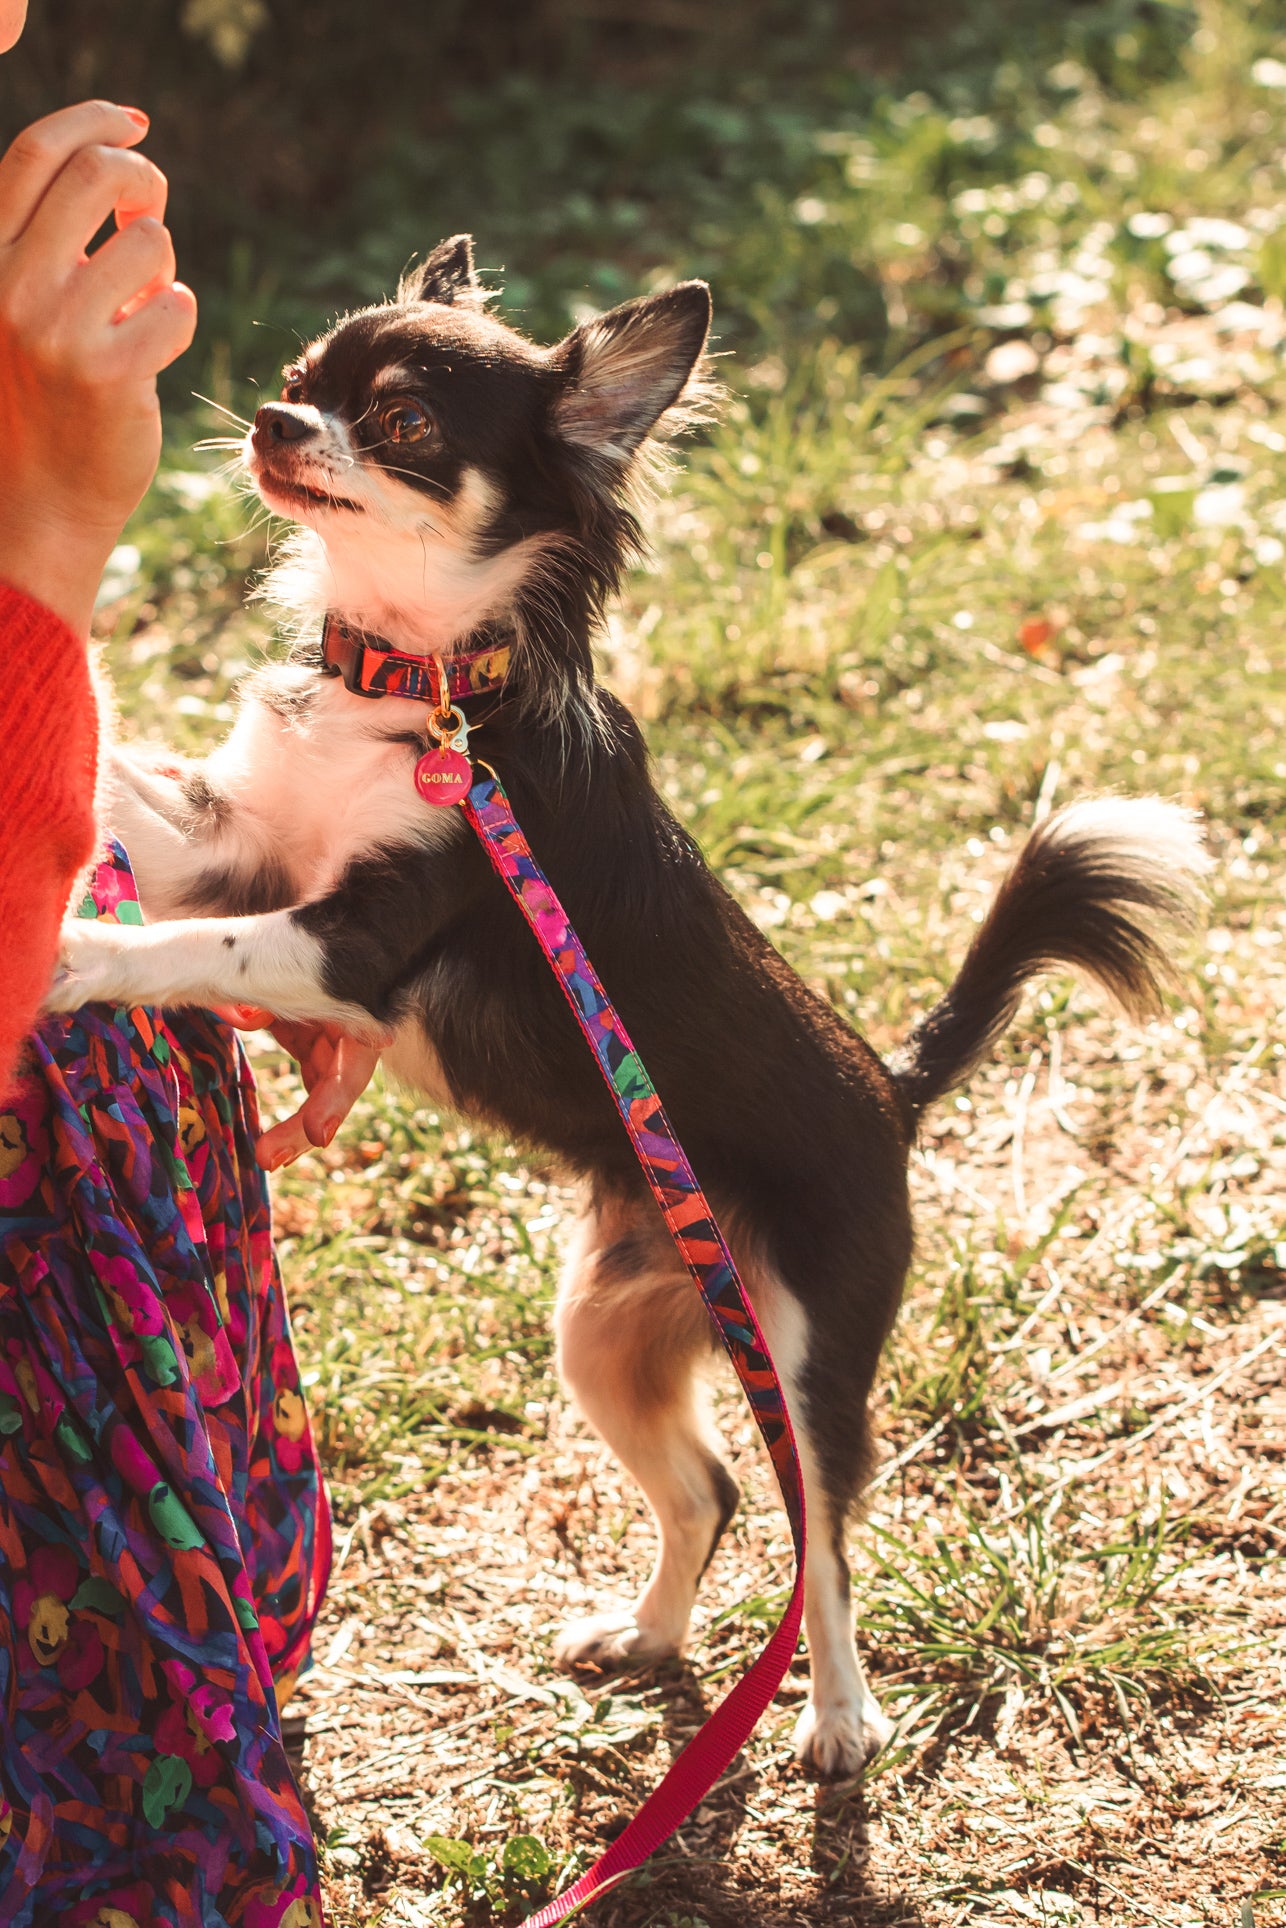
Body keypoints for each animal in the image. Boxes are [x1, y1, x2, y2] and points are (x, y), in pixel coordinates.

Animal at [50, 237, 1210, 1773]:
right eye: (301, 379)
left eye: (403, 421)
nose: (273, 423)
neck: (418, 680)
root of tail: (892, 1091)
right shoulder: (228, 845)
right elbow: (134, 793)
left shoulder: (347, 939)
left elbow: (199, 949)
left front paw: (73, 954)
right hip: (604, 1331)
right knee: (710, 1491)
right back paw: (648, 1636)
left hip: (807, 1349)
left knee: (821, 1531)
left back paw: (838, 1716)